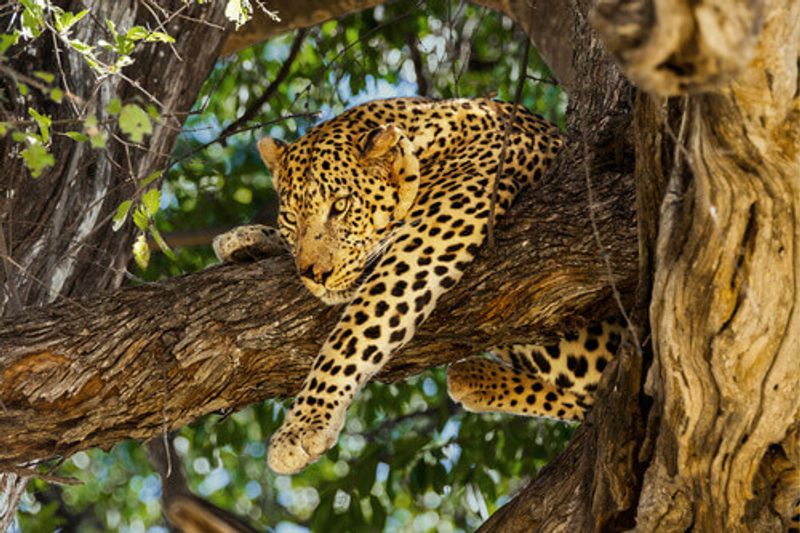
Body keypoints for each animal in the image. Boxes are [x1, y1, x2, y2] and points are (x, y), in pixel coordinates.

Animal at [214, 96, 624, 474]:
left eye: (341, 205)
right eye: (291, 218)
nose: (315, 275)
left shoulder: (430, 237)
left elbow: (356, 328)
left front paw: (303, 425)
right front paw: (245, 239)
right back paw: (473, 378)